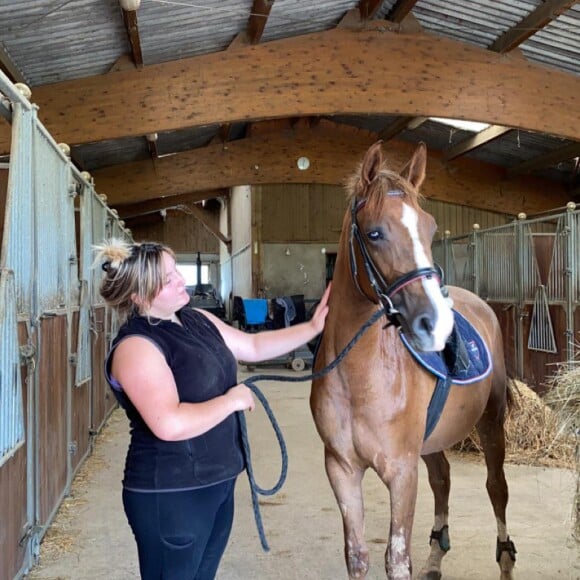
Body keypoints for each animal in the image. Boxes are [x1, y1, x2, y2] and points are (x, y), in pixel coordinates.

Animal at [312, 142, 516, 580]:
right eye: (375, 233)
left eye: (431, 229)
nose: (435, 324)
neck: (360, 378)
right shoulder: (341, 469)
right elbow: (357, 555)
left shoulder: (402, 471)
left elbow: (397, 558)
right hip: (431, 441)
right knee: (443, 480)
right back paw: (436, 557)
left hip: (491, 423)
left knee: (497, 488)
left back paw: (506, 558)